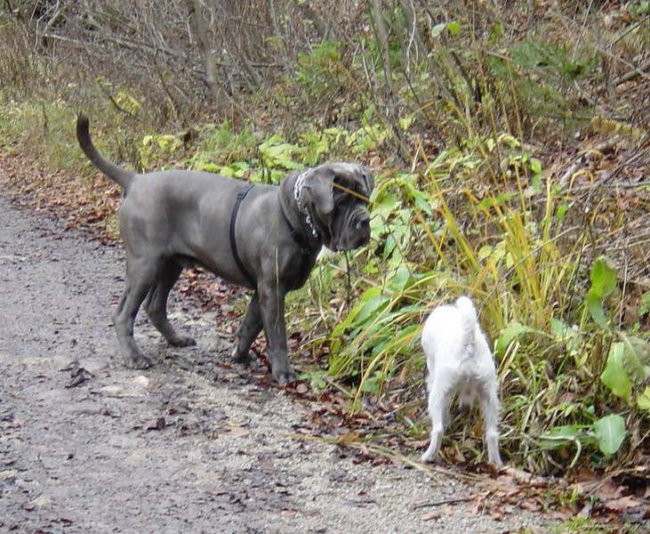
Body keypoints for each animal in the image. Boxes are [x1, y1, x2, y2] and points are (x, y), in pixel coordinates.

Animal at [74, 116, 374, 386]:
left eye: (365, 198)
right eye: (341, 201)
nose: (364, 221)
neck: (295, 214)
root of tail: (136, 181)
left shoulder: (264, 289)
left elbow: (250, 324)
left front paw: (240, 355)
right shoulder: (272, 288)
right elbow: (277, 334)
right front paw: (283, 373)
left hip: (170, 264)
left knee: (155, 306)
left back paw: (176, 339)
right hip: (145, 264)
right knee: (124, 312)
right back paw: (134, 356)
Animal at [418, 298, 504, 468]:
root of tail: (468, 344)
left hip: (437, 393)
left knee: (438, 429)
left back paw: (429, 456)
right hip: (489, 393)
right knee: (492, 433)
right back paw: (495, 462)